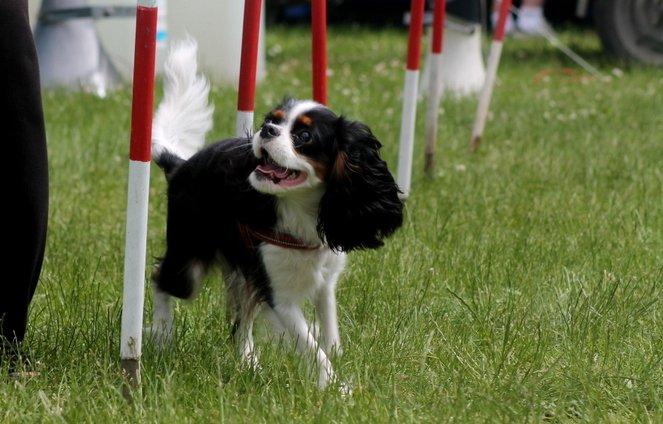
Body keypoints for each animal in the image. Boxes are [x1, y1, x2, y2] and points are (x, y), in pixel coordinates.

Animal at [150, 40, 404, 390]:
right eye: (272, 120)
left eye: (305, 136)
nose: (266, 129)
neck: (301, 207)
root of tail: (180, 165)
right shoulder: (279, 294)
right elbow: (310, 345)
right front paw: (336, 388)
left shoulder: (325, 278)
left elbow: (329, 325)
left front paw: (335, 355)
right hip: (189, 260)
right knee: (160, 278)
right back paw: (161, 334)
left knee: (241, 319)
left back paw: (248, 362)